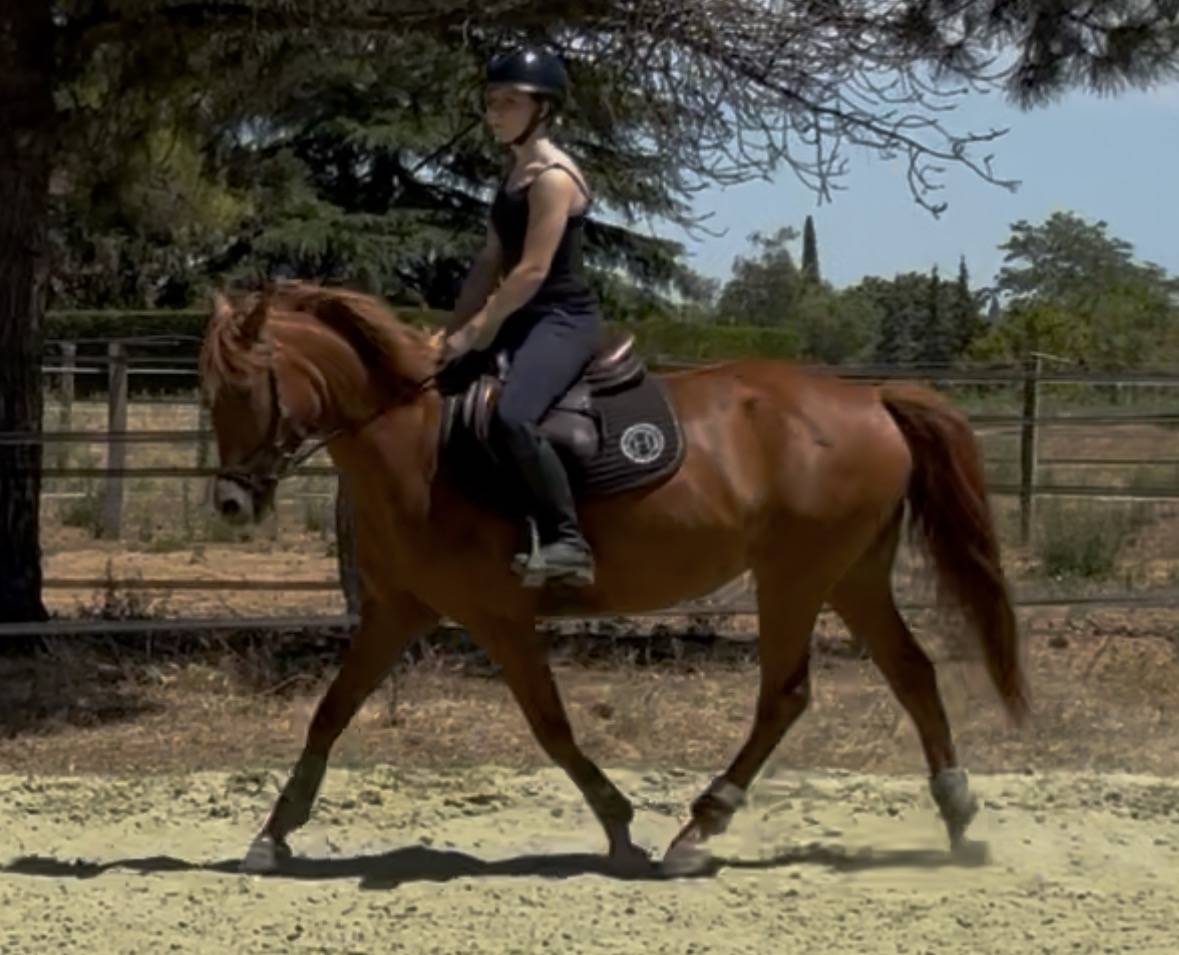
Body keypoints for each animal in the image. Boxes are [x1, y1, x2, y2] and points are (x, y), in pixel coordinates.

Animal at [199, 281, 1028, 877]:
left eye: (242, 387)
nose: (231, 503)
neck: (417, 444)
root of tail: (870, 398)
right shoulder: (394, 612)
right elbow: (329, 714)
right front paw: (273, 833)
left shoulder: (497, 616)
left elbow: (551, 727)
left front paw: (620, 825)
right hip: (849, 575)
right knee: (911, 671)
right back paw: (957, 813)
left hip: (794, 575)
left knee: (785, 695)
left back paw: (697, 830)